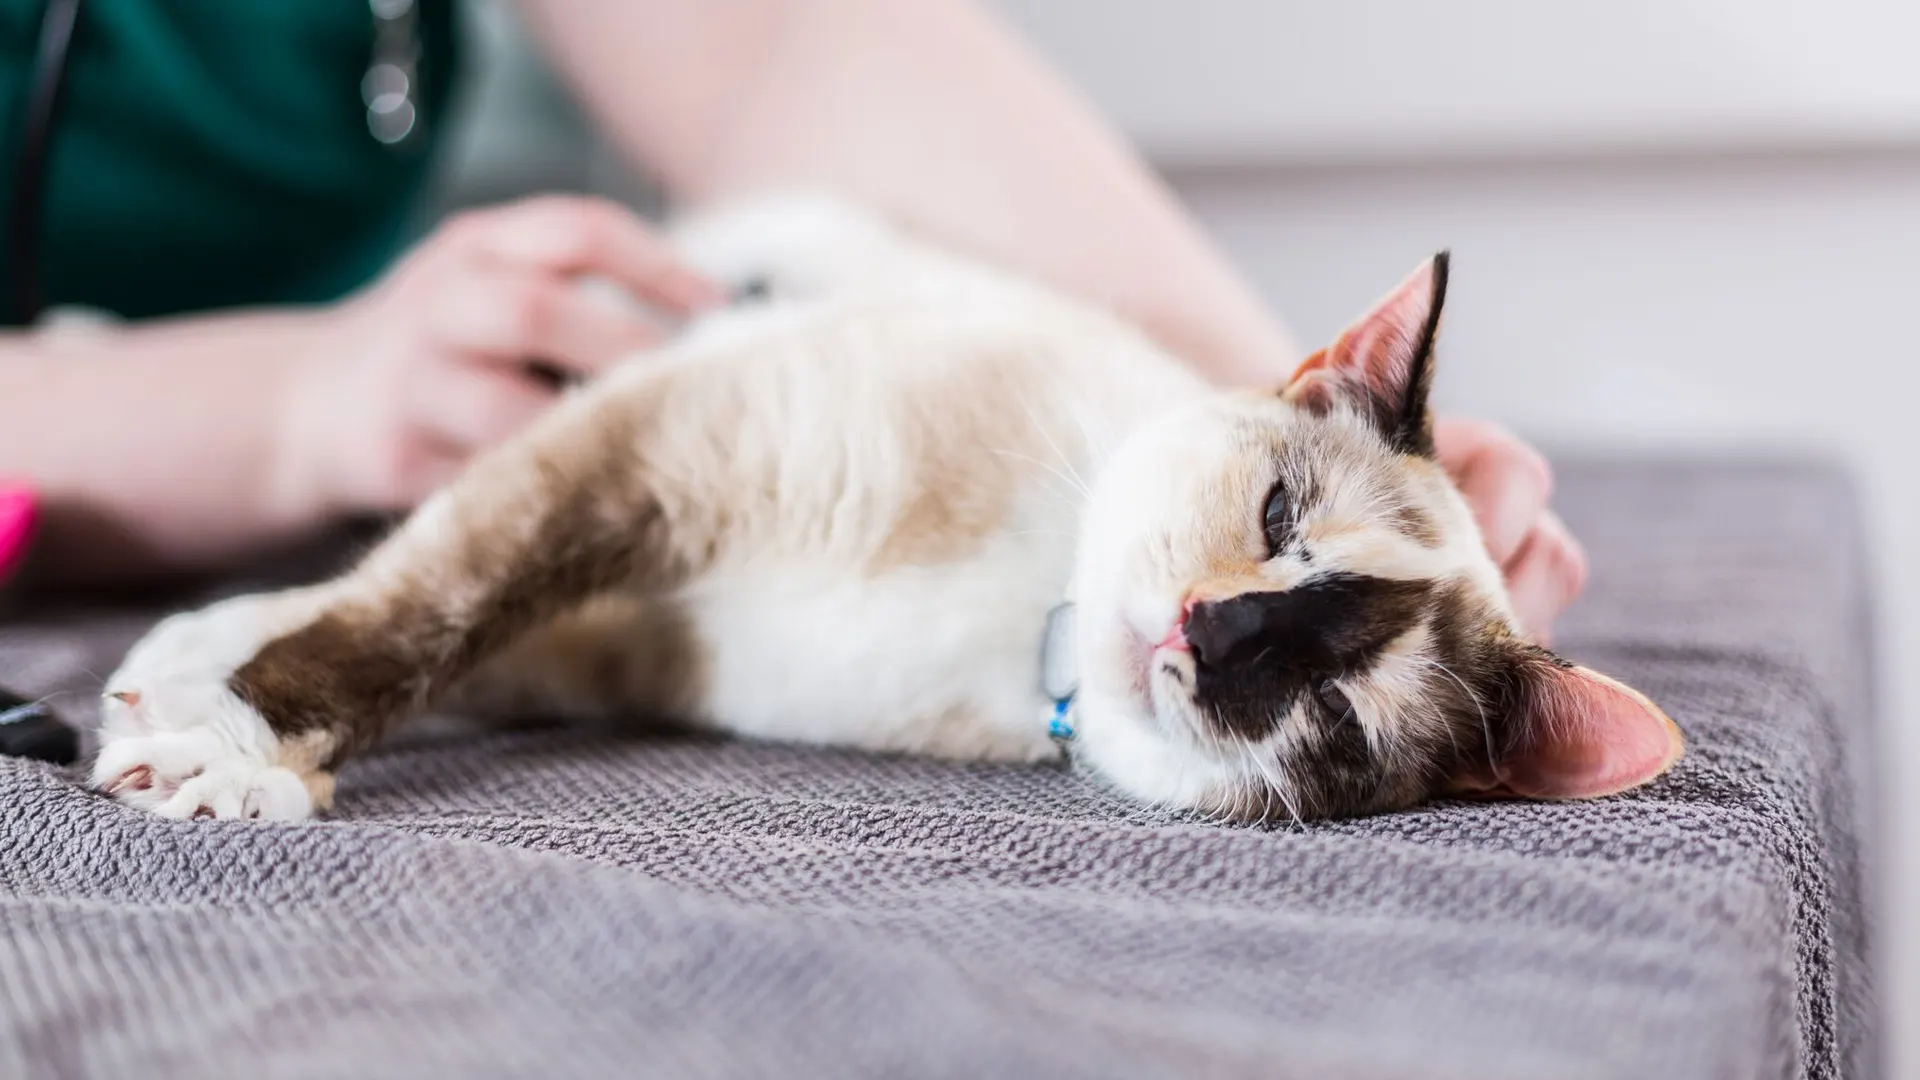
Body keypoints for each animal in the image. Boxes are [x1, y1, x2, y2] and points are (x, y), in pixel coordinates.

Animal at [90, 193, 1681, 818]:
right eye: (1279, 516)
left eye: (1335, 716)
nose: (1214, 638)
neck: (1022, 622)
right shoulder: (647, 448)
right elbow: (414, 615)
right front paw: (225, 736)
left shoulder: (621, 625)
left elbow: (431, 626)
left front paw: (226, 738)